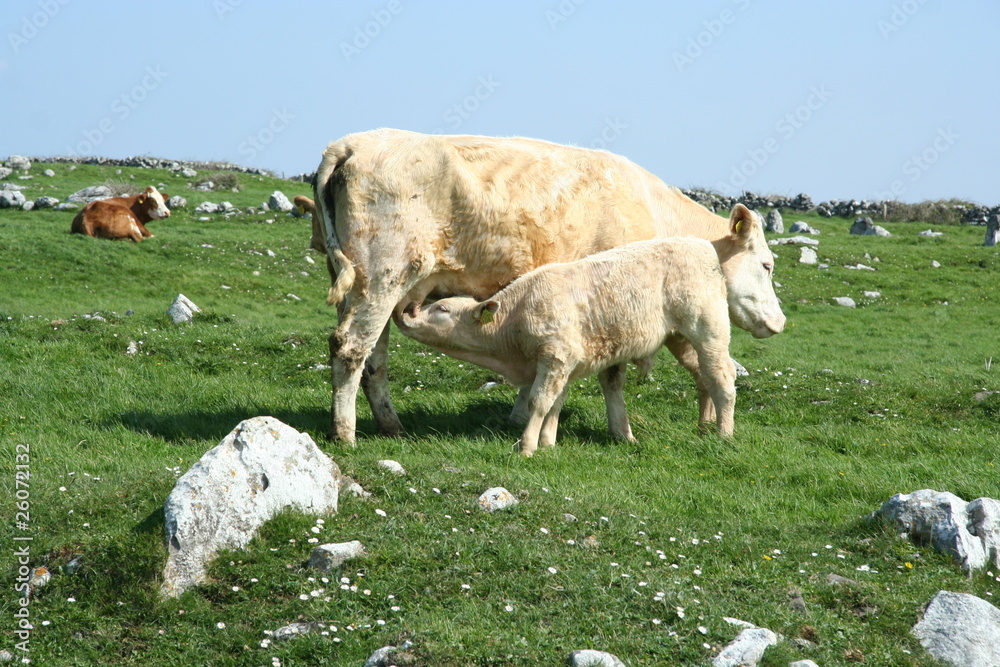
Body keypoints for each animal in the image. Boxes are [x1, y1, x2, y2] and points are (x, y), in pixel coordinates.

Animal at [394, 209, 784, 455]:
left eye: (442, 309)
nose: (406, 312)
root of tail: (702, 247)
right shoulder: (564, 362)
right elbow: (555, 402)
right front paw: (548, 443)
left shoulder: (554, 356)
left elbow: (539, 401)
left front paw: (527, 447)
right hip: (680, 338)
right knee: (703, 378)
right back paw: (704, 426)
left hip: (708, 329)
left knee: (722, 377)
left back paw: (723, 434)